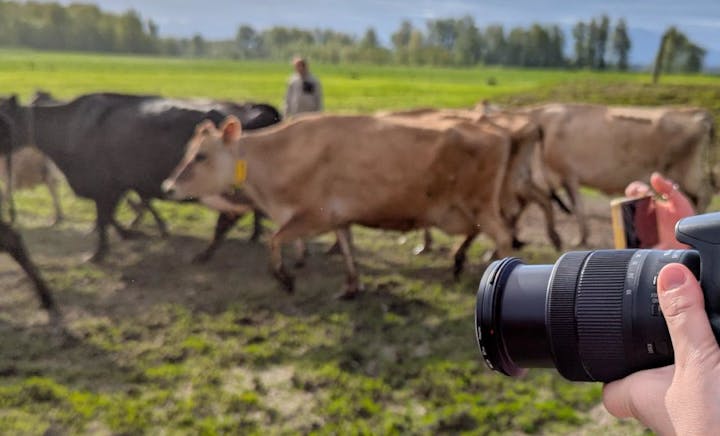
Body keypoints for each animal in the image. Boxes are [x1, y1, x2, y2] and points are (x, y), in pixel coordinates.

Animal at [0, 93, 280, 261]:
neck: (70, 127)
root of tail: (252, 106)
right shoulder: (116, 185)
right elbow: (109, 216)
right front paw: (127, 234)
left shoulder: (105, 185)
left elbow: (104, 217)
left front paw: (99, 253)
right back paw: (251, 237)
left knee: (228, 218)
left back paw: (206, 254)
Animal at [162, 114, 514, 298]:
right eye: (188, 151)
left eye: (201, 156)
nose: (168, 186)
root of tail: (493, 128)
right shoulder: (338, 217)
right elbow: (347, 249)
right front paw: (351, 287)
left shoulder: (313, 215)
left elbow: (274, 240)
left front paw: (285, 279)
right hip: (461, 210)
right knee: (478, 234)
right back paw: (458, 262)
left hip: (479, 205)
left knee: (504, 237)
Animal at [523, 103, 716, 245]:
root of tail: (696, 112)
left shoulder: (567, 173)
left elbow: (577, 207)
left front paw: (578, 239)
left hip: (686, 172)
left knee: (704, 194)